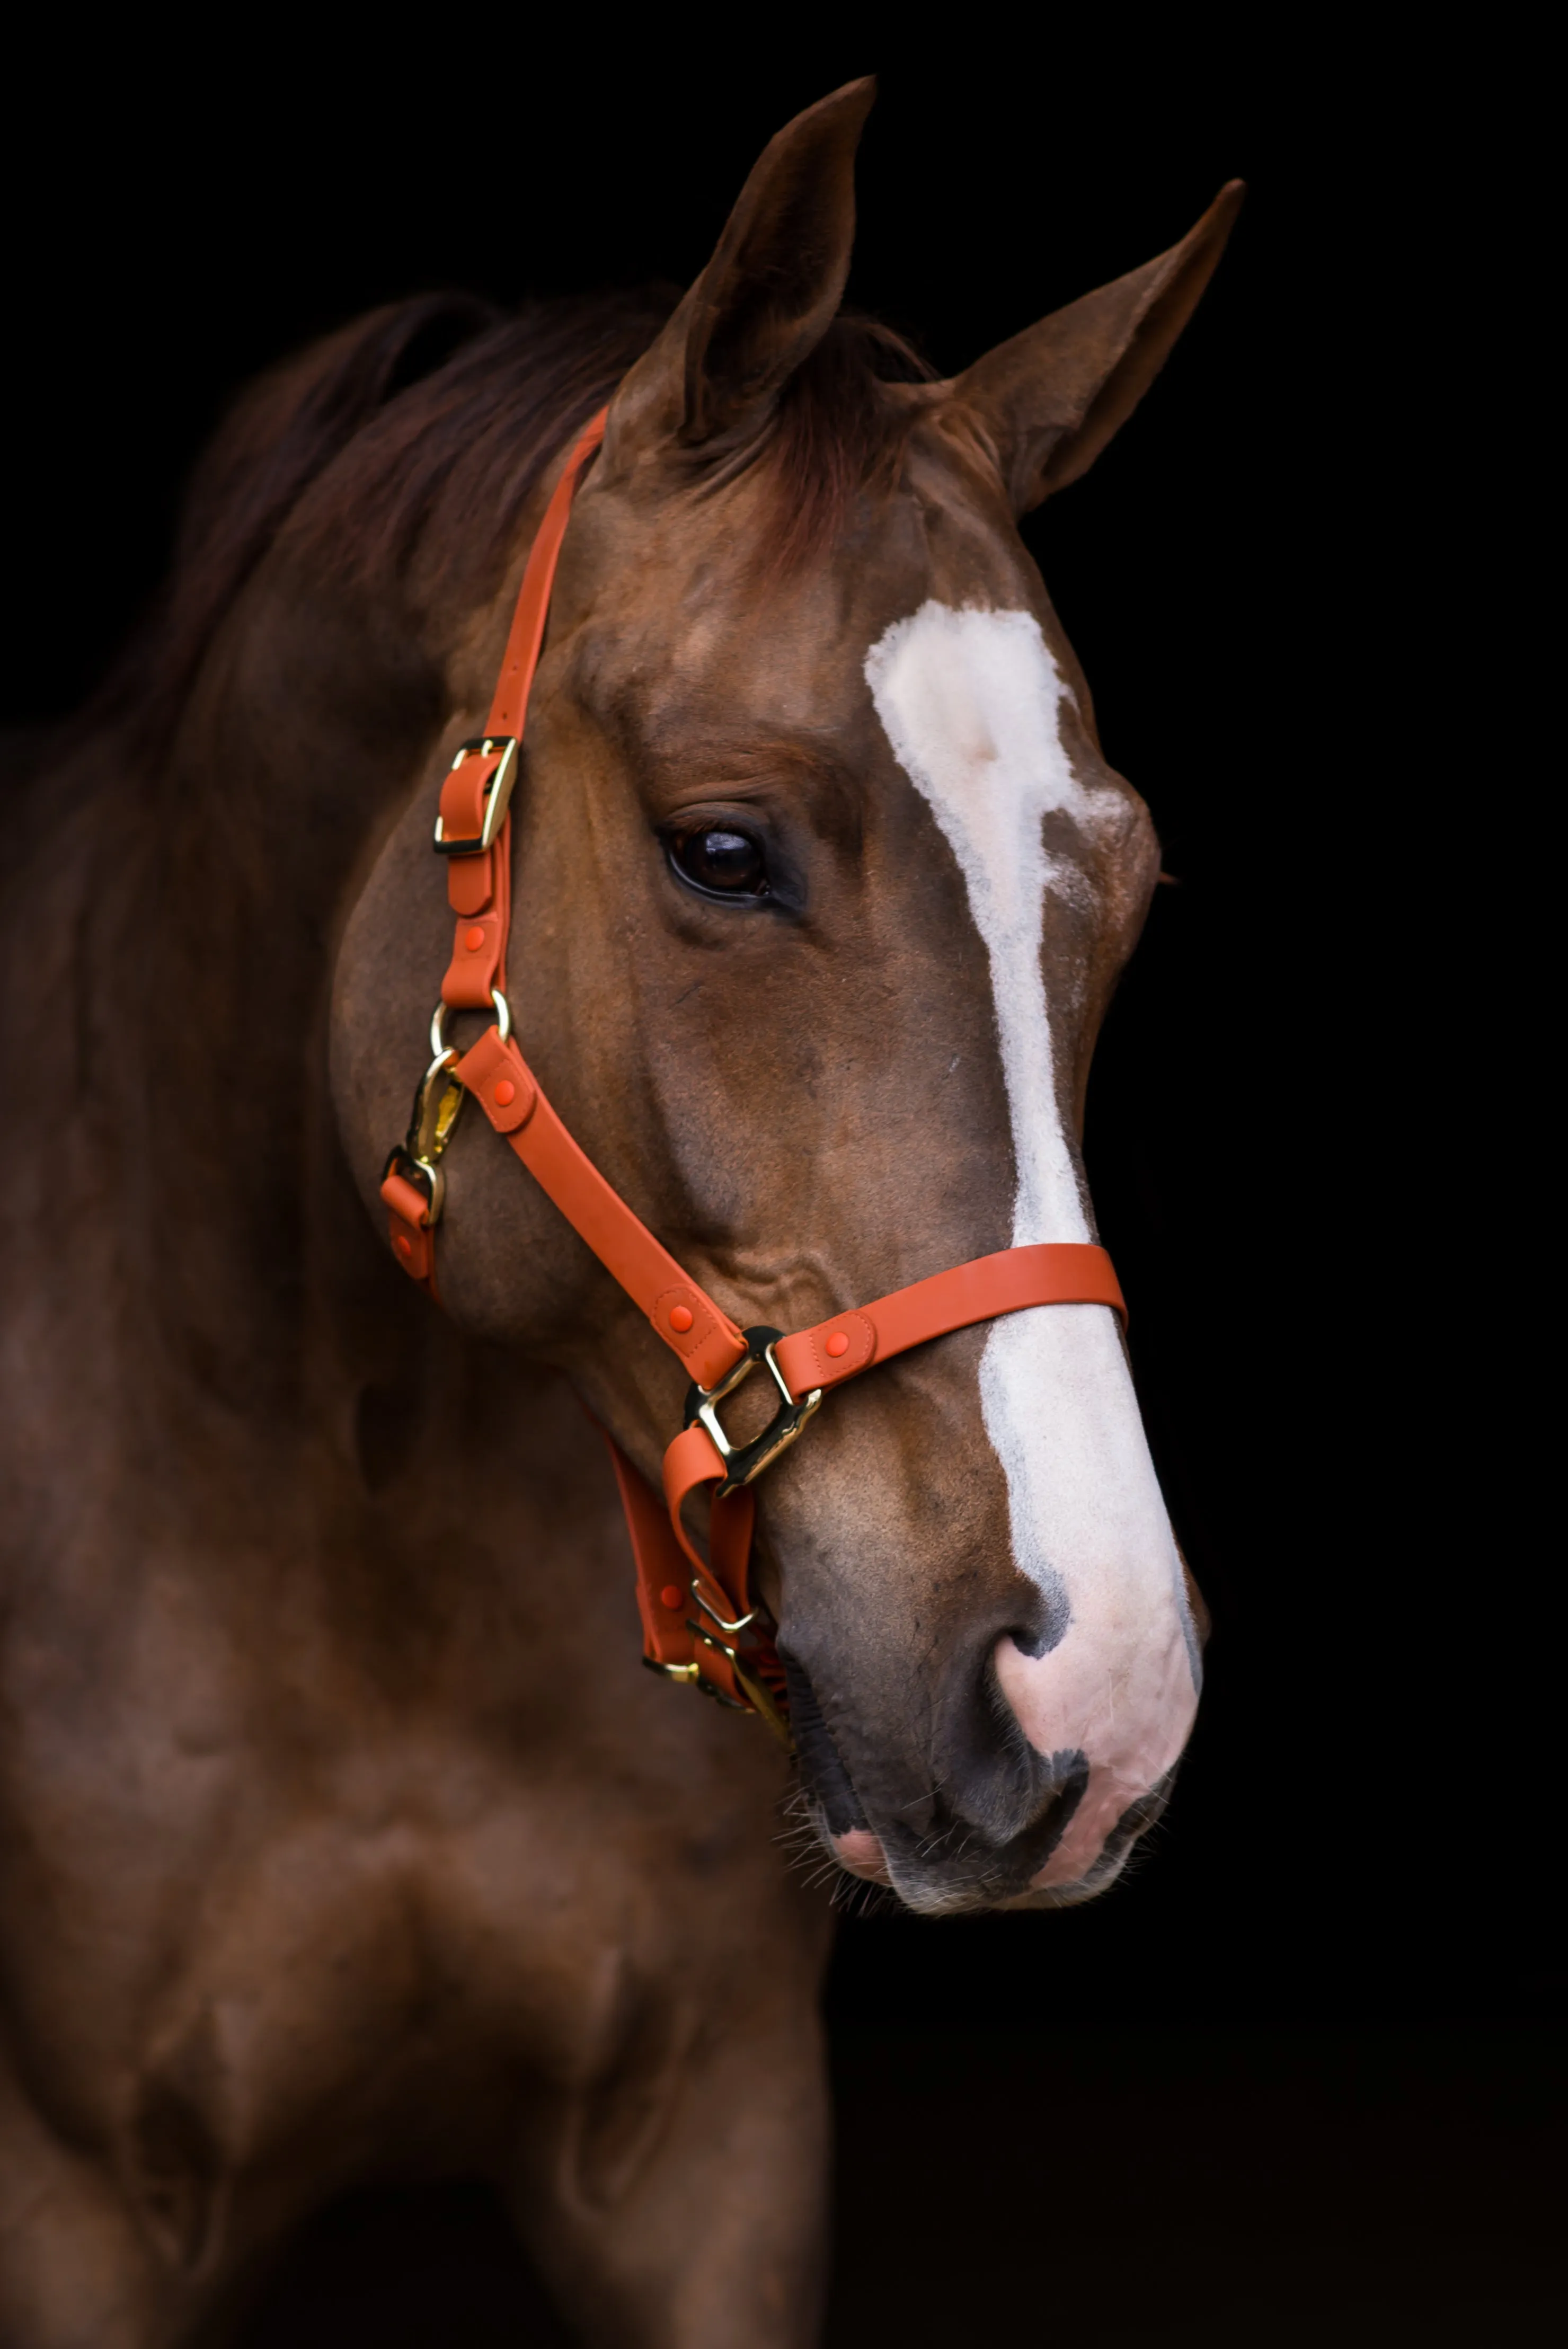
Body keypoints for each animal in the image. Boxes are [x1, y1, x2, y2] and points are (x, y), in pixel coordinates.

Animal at [3, 78, 1241, 2349]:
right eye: (721, 848)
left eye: (1126, 880)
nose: (1096, 1692)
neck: (355, 1514)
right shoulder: (69, 2206)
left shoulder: (714, 2158)